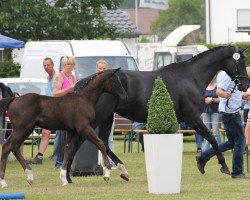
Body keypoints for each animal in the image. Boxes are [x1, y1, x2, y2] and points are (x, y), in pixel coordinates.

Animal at [64, 45, 248, 181]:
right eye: (240, 61)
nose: (245, 85)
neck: (191, 77)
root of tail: (84, 83)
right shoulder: (193, 119)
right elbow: (212, 138)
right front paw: (222, 166)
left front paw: (201, 161)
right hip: (99, 118)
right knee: (80, 141)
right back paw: (68, 176)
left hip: (107, 118)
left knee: (101, 142)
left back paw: (122, 171)